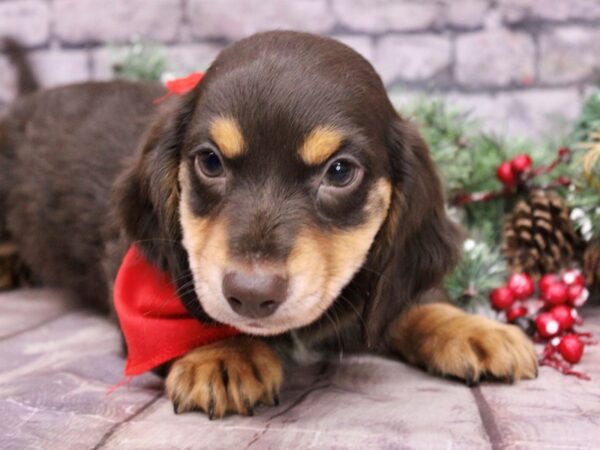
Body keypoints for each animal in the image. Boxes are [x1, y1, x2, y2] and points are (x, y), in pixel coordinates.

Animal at [0, 31, 536, 418]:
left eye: (339, 171)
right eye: (210, 162)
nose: (251, 296)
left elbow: (406, 303)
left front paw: (472, 328)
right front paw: (221, 353)